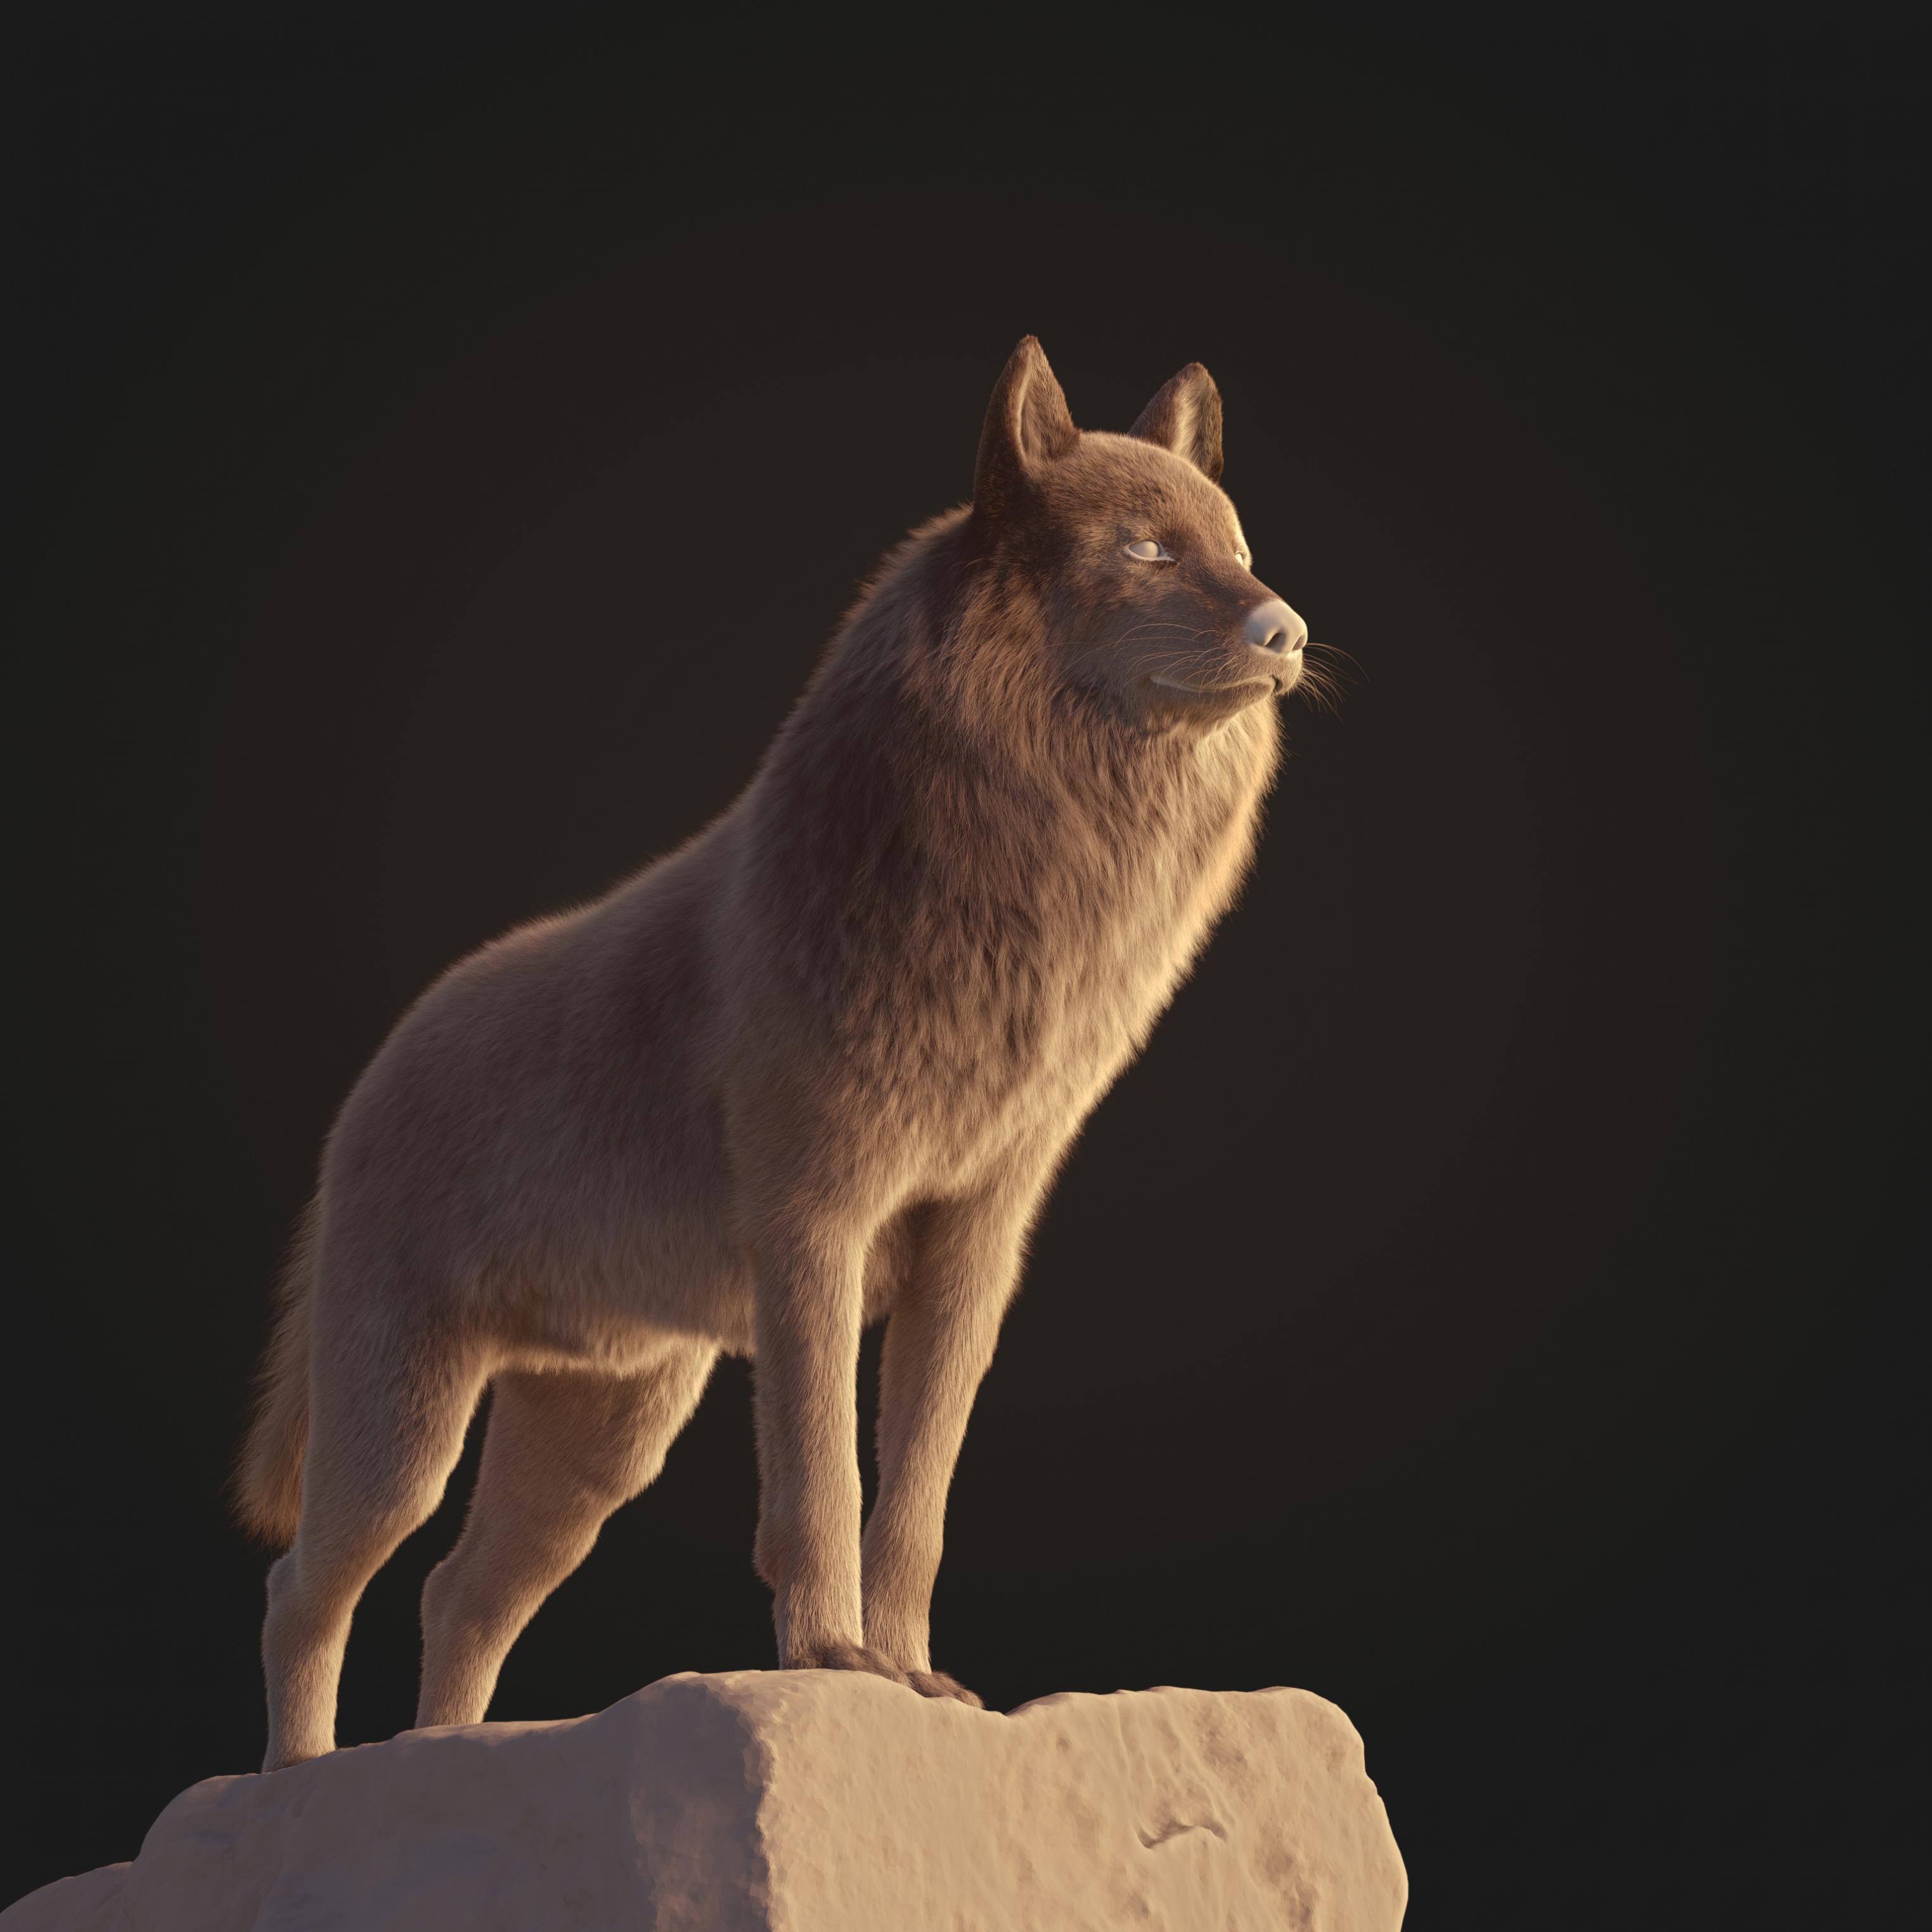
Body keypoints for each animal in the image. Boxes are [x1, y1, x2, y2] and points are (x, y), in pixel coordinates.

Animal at [235, 337, 1317, 1771]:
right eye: (1143, 549)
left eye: (1238, 547)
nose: (1286, 630)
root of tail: (373, 1075)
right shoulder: (814, 1228)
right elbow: (822, 1482)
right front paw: (833, 1660)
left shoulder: (972, 1253)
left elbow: (914, 1496)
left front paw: (916, 1678)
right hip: (404, 1421)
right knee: (308, 1585)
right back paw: (300, 1785)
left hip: (603, 1432)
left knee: (460, 1593)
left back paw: (445, 1761)